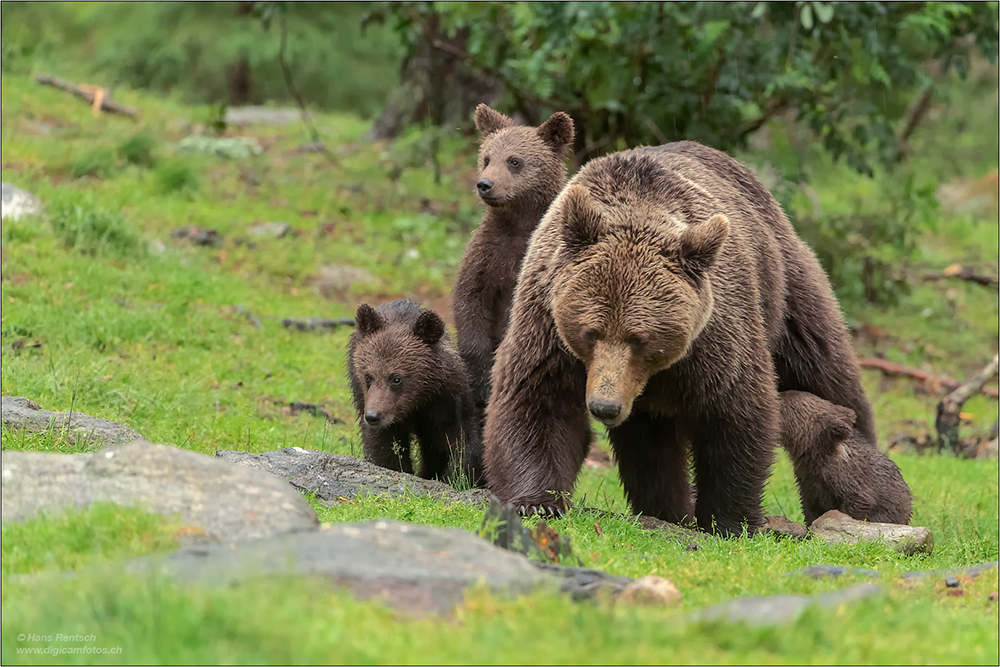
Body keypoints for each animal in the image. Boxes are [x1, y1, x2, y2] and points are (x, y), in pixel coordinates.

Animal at [482, 141, 884, 536]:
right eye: (590, 333)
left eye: (640, 338)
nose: (604, 407)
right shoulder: (547, 321)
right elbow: (538, 399)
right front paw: (536, 501)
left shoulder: (717, 335)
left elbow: (735, 411)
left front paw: (729, 520)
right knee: (651, 445)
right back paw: (666, 509)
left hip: (786, 290)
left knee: (827, 373)